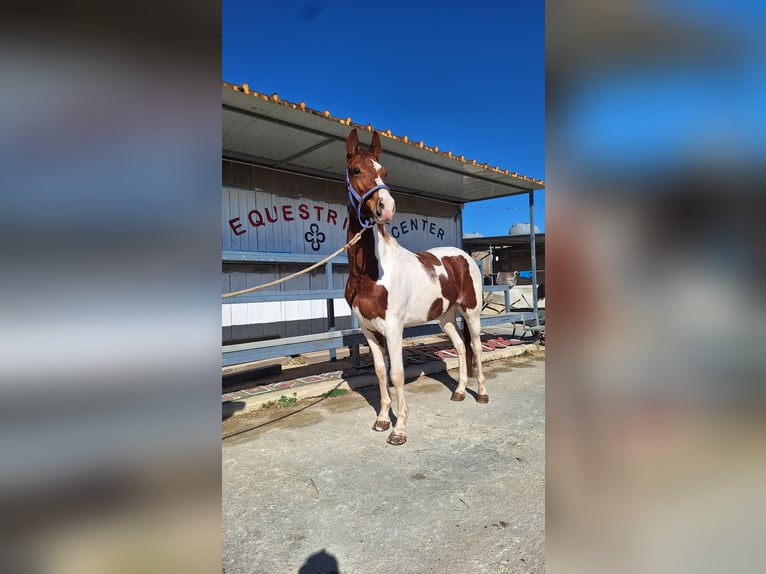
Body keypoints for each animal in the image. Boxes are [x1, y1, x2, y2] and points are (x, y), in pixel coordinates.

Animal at [343, 128, 487, 446]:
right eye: (356, 169)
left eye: (384, 170)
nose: (386, 208)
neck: (371, 272)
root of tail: (464, 256)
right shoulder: (368, 330)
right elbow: (380, 372)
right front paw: (382, 420)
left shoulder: (393, 328)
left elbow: (397, 374)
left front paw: (399, 429)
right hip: (446, 317)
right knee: (460, 347)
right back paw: (459, 392)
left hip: (470, 312)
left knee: (476, 346)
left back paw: (482, 394)